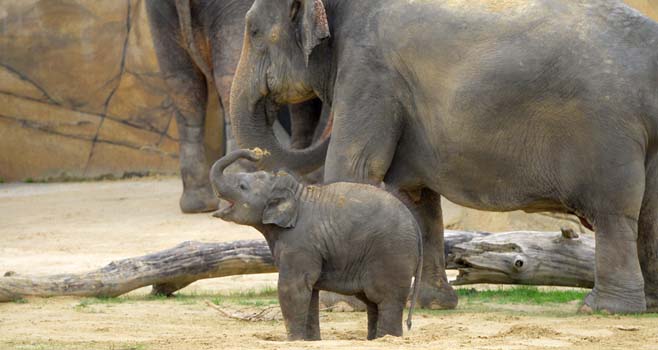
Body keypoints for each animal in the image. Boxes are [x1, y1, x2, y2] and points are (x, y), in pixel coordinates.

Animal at [209, 149, 420, 340]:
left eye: (242, 186)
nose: (256, 154)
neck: (296, 192)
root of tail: (414, 222)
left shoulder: (299, 243)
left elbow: (292, 287)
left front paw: (294, 341)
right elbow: (309, 293)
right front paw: (310, 341)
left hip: (393, 254)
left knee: (386, 299)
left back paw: (388, 338)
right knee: (372, 302)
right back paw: (375, 339)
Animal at [229, 0, 656, 314]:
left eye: (254, 32)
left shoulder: (369, 72)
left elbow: (354, 168)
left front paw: (340, 305)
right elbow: (416, 198)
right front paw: (432, 305)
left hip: (608, 129)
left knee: (614, 212)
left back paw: (603, 309)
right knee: (650, 211)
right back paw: (648, 304)